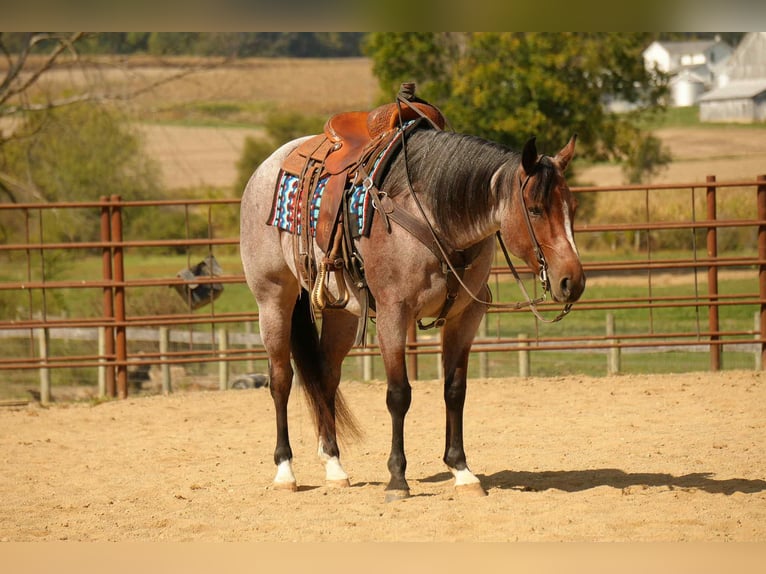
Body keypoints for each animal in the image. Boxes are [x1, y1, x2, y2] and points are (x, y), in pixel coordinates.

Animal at [240, 122, 585, 501]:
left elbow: (455, 390)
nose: (572, 281)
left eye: (572, 206)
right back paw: (285, 471)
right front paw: (397, 478)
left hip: (342, 311)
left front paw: (462, 471)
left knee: (326, 377)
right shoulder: (394, 315)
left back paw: (334, 465)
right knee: (281, 379)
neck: (435, 219)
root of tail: (267, 167)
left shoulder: (465, 317)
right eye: (535, 209)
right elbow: (398, 394)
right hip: (273, 299)